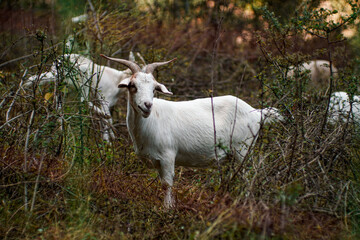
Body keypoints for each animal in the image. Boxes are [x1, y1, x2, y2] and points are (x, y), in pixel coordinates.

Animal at [100, 53, 282, 207]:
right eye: (133, 86)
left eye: (154, 89)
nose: (147, 105)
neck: (151, 121)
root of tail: (257, 112)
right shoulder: (157, 161)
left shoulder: (168, 155)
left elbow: (167, 184)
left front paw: (168, 209)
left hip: (243, 150)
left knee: (248, 176)